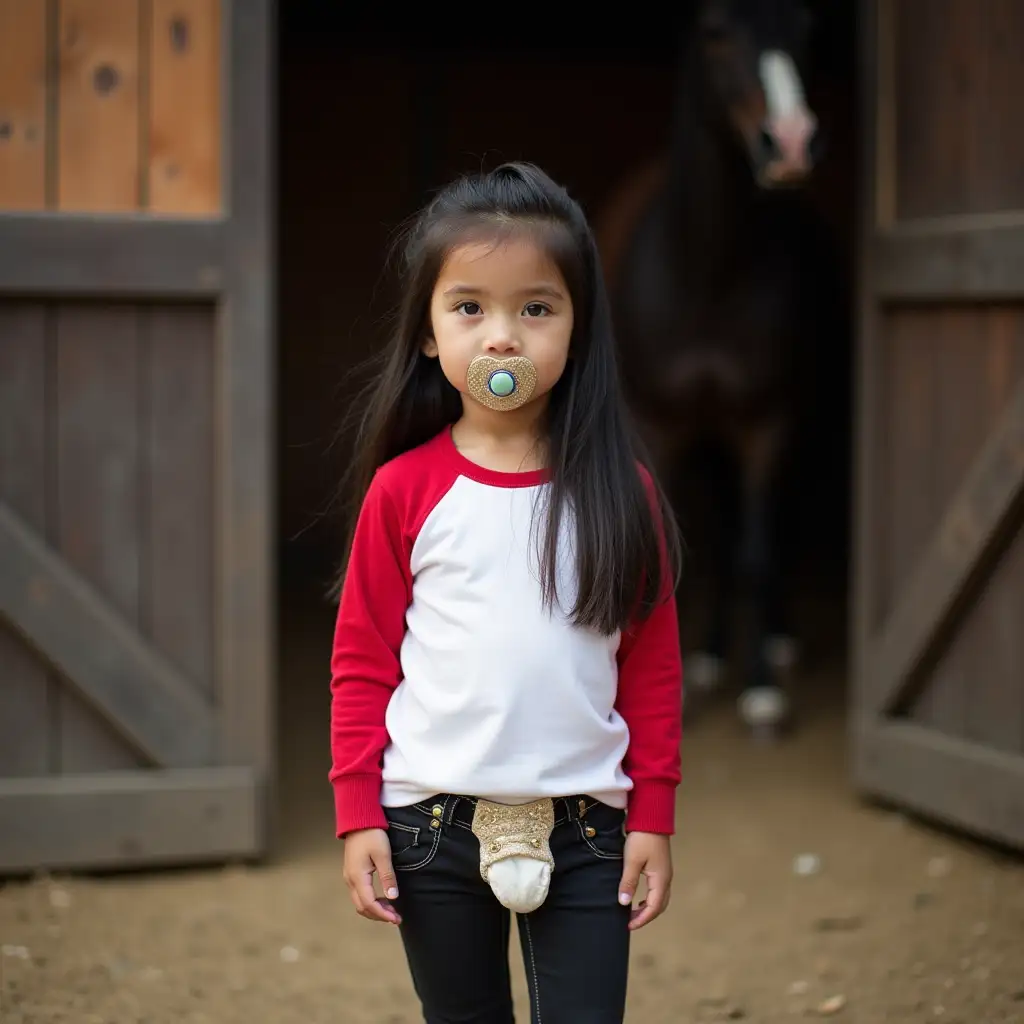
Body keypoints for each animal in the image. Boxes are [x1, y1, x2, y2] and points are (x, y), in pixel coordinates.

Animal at [598, 0, 843, 737]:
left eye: (806, 30)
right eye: (716, 30)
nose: (789, 143)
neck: (706, 272)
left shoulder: (767, 423)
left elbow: (757, 554)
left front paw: (762, 691)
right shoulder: (664, 429)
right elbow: (685, 555)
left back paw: (776, 641)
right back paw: (709, 654)